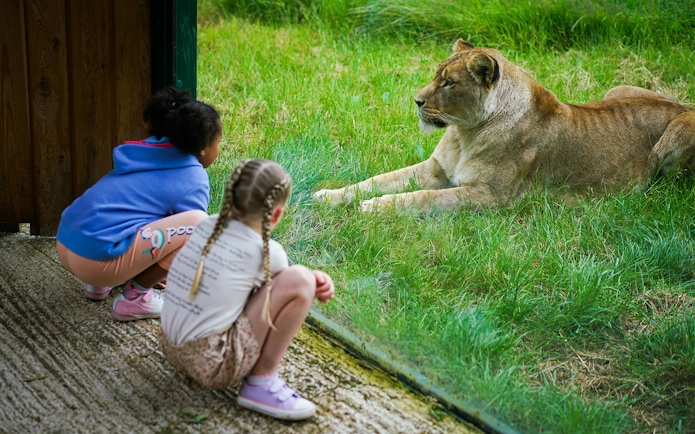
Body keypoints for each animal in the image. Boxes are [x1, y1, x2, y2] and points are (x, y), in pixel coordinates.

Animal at [313, 39, 695, 212]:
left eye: (448, 83)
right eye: (436, 76)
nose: (416, 101)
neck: (465, 132)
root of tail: (681, 104)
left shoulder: (490, 195)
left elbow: (423, 199)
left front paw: (375, 208)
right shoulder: (434, 168)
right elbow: (375, 180)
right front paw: (329, 196)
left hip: (676, 133)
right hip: (617, 89)